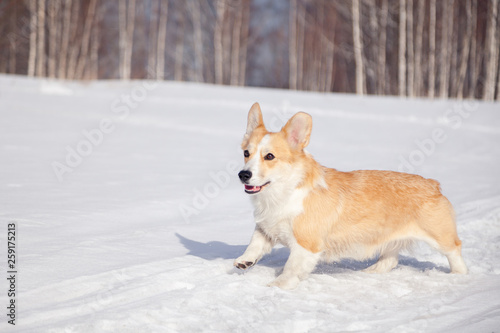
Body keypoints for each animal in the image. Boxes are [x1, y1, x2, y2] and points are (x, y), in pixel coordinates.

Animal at [234, 103, 468, 288]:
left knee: (455, 250)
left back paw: (458, 276)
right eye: (246, 153)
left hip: (439, 236)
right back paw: (370, 272)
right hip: (389, 238)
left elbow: (291, 267)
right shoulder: (266, 228)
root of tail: (433, 184)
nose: (243, 175)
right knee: (390, 260)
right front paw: (244, 261)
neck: (281, 192)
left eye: (269, 156)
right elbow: (255, 244)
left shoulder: (306, 244)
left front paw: (278, 285)